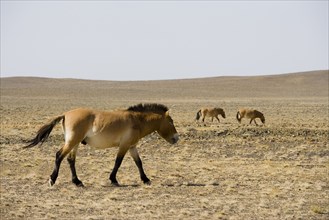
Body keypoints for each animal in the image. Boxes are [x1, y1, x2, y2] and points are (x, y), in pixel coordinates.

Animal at [24, 104, 178, 186]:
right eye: (171, 121)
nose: (177, 138)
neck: (136, 120)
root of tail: (65, 114)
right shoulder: (124, 146)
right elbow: (118, 162)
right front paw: (113, 180)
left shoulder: (132, 147)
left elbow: (139, 163)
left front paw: (146, 179)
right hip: (72, 142)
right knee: (59, 156)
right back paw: (52, 179)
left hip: (75, 143)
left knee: (70, 160)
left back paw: (77, 182)